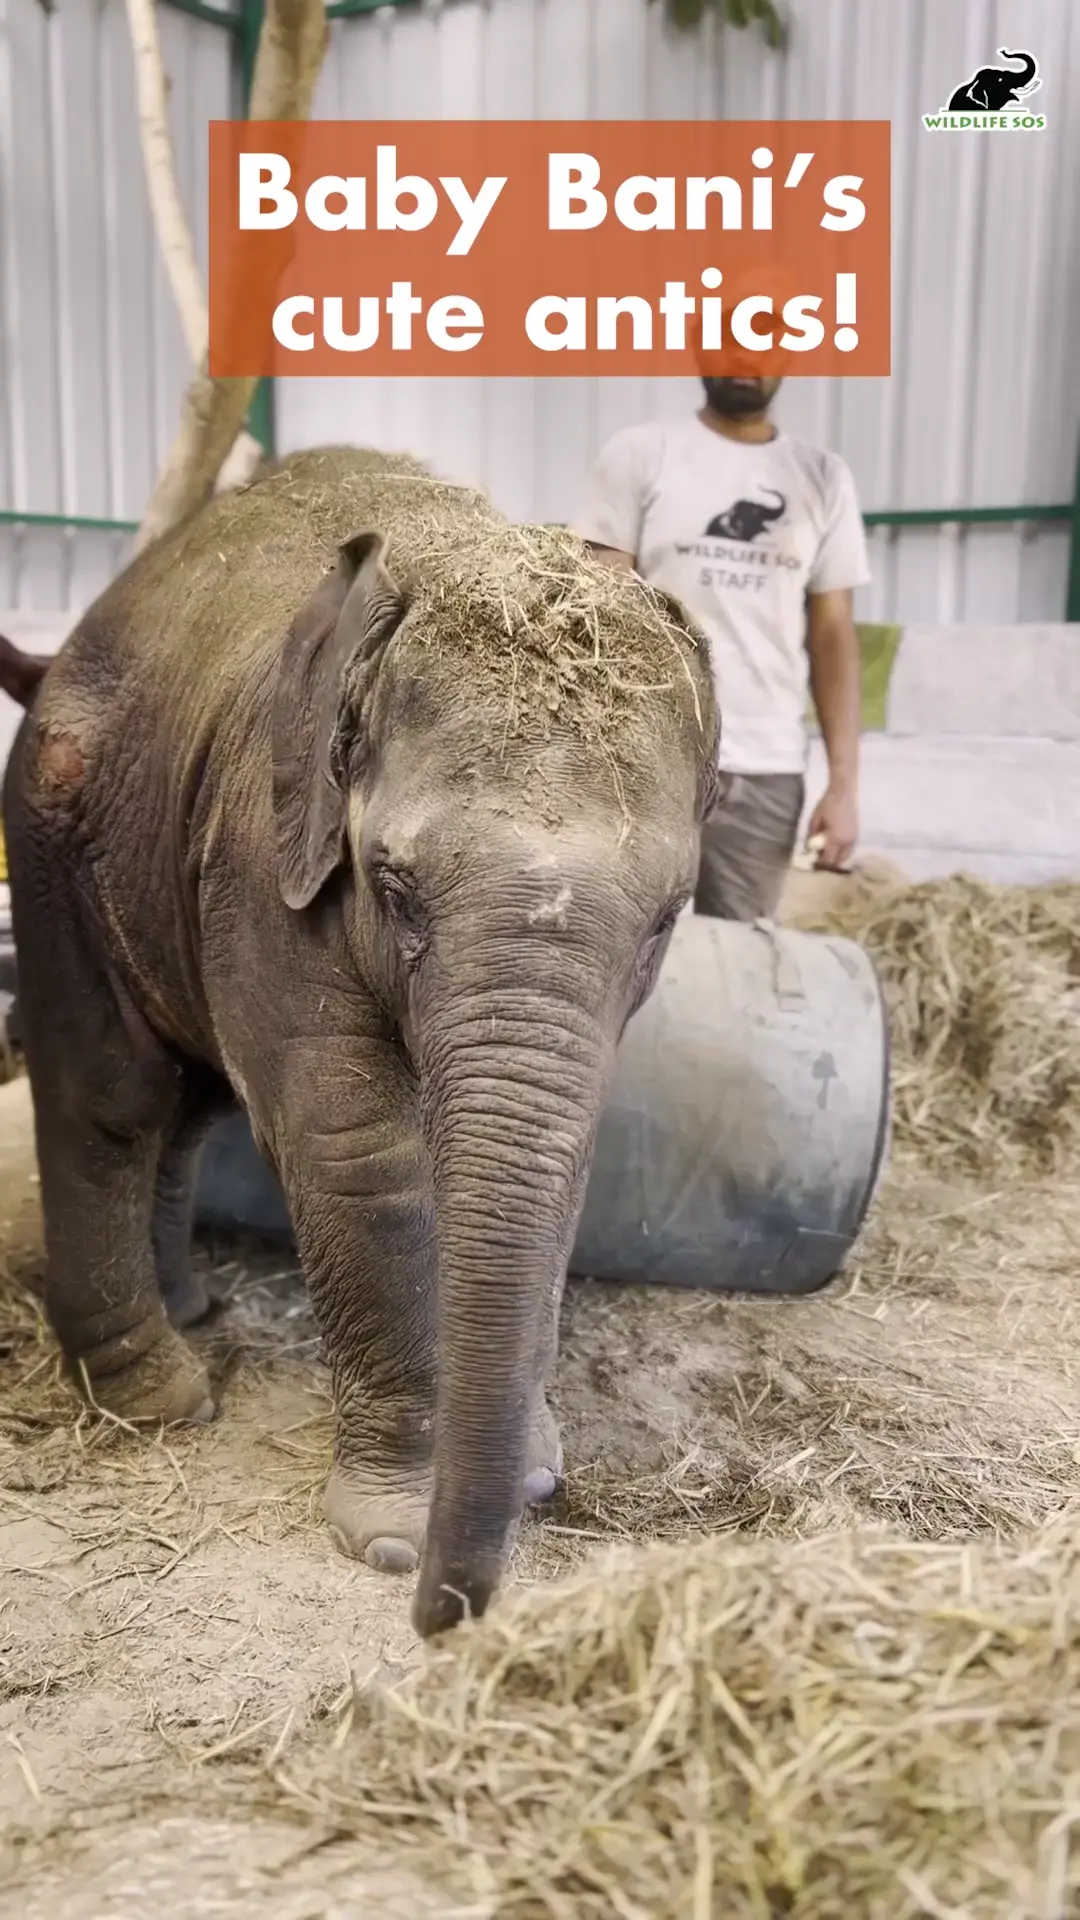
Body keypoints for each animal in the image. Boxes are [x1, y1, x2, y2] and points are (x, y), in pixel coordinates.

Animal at [2, 446, 719, 1639]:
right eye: (392, 885)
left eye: (668, 917)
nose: (445, 1616)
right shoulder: (262, 853)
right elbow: (358, 1150)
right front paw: (392, 1539)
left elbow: (560, 1155)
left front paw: (532, 1472)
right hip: (54, 827)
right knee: (113, 1095)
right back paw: (160, 1395)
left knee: (190, 1108)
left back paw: (194, 1310)